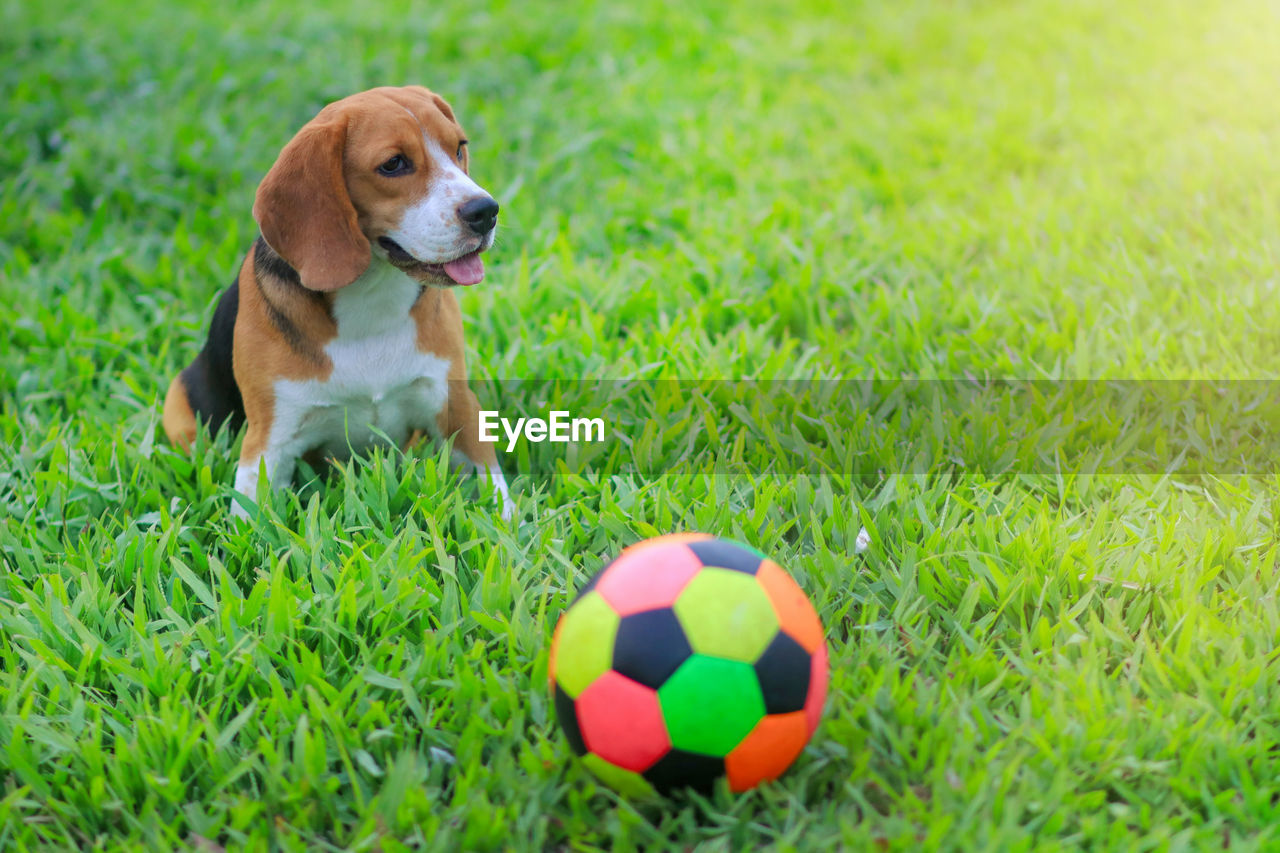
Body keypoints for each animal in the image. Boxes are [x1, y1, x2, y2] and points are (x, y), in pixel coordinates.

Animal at [162, 83, 512, 514]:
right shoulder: (268, 444)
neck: (373, 299)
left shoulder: (458, 407)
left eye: (459, 147)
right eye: (393, 164)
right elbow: (255, 522)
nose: (486, 212)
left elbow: (500, 500)